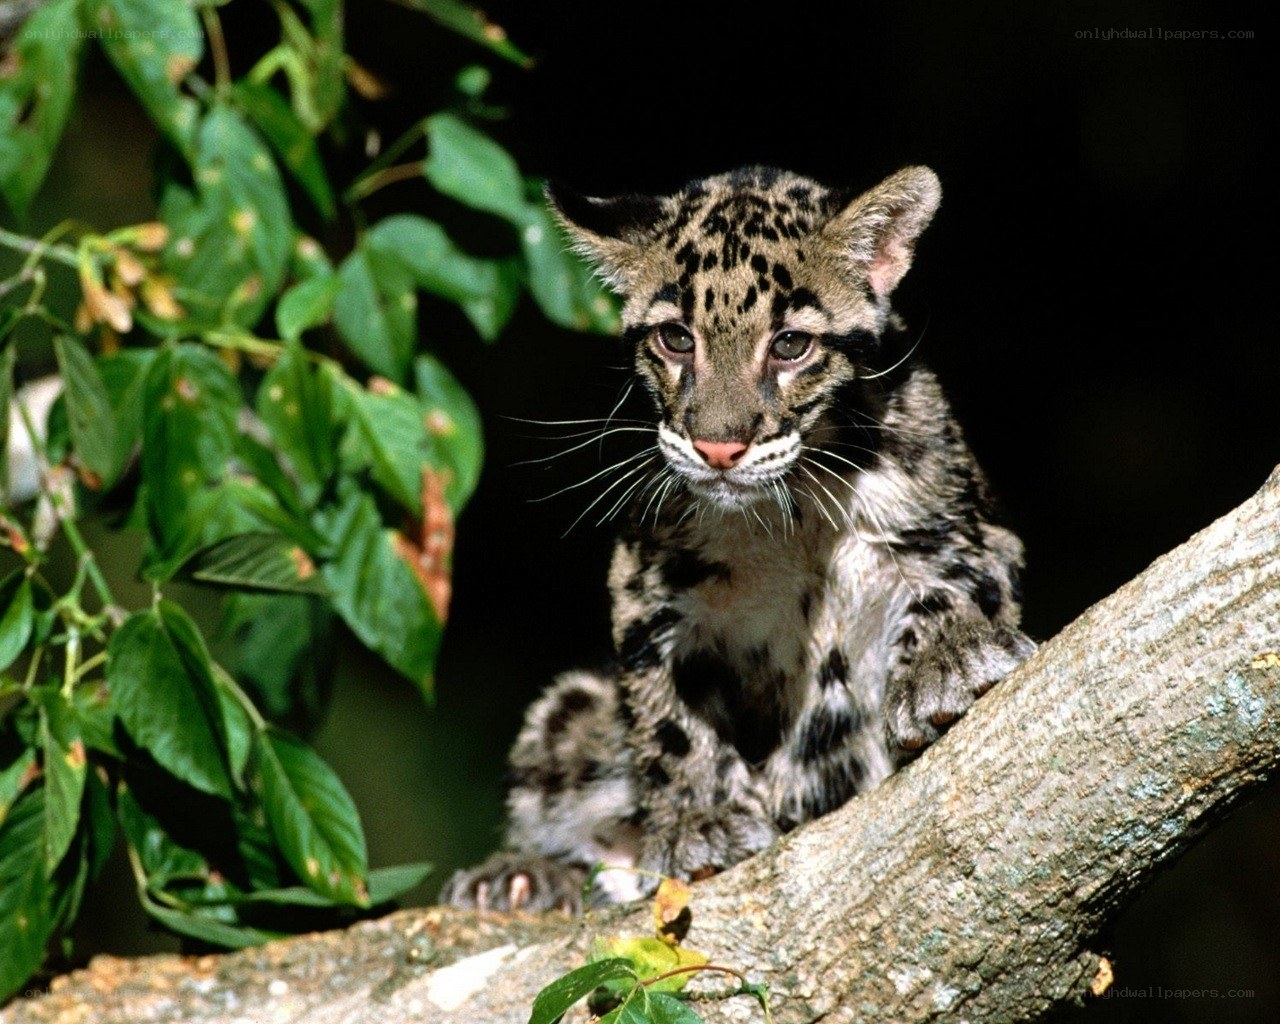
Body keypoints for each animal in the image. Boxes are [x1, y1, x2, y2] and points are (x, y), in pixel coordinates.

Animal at [442, 165, 1035, 913]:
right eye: (675, 339)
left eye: (790, 345)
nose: (718, 448)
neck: (792, 514)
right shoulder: (648, 590)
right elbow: (665, 712)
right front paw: (699, 819)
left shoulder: (968, 524)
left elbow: (957, 579)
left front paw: (947, 661)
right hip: (570, 712)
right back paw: (522, 876)